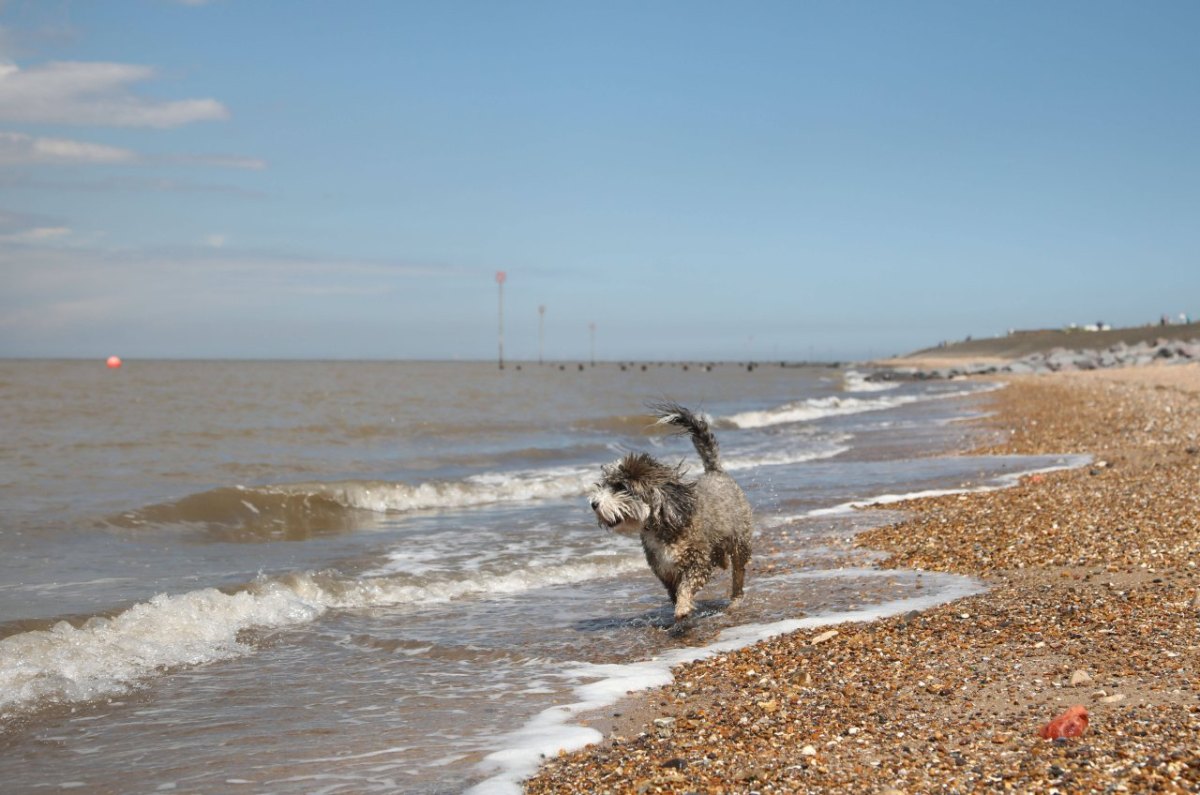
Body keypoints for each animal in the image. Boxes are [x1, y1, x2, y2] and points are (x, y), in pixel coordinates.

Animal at [588, 405, 748, 624]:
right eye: (604, 484)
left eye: (621, 487)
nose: (593, 504)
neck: (663, 520)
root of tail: (715, 472)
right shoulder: (664, 570)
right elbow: (674, 590)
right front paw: (681, 609)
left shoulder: (697, 561)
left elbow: (686, 585)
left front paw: (683, 608)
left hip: (741, 541)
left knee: (738, 572)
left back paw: (736, 601)